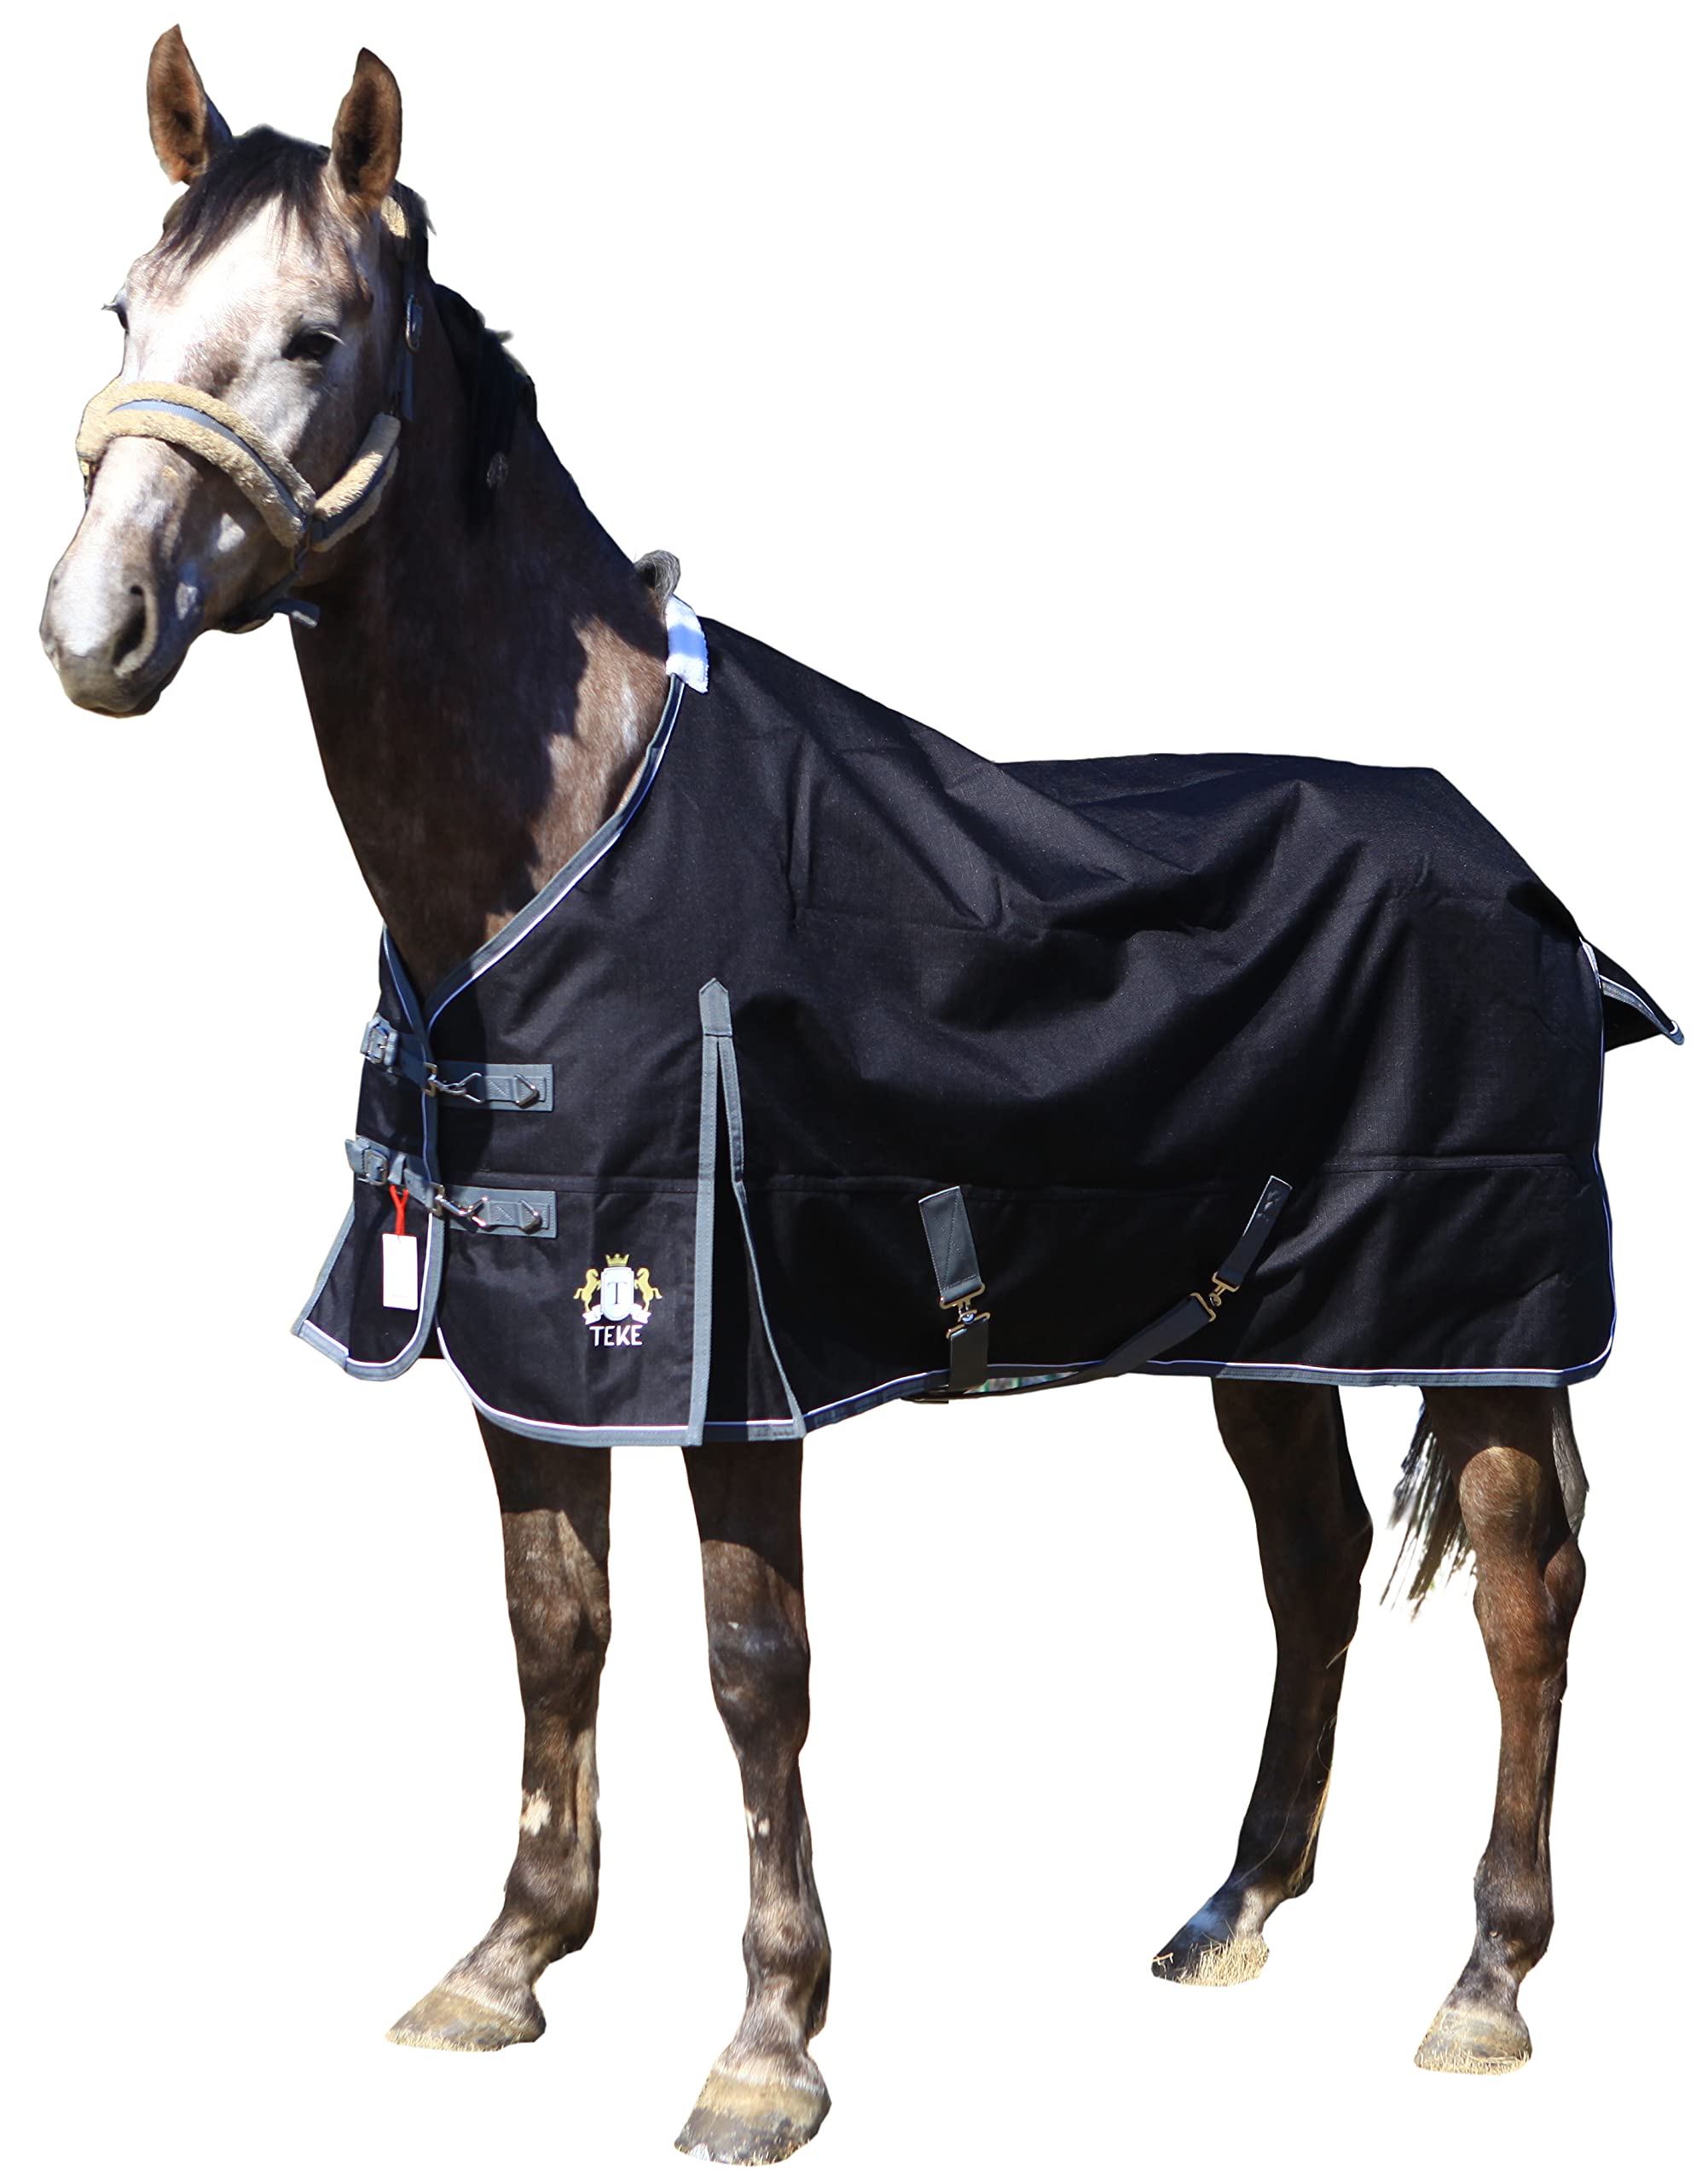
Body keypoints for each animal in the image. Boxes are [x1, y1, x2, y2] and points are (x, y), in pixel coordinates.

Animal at [39, 31, 1647, 2164]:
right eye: (127, 308)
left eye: (312, 333)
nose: (93, 629)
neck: (561, 840)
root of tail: (1513, 869)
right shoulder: (530, 1341)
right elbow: (552, 1626)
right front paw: (503, 1962)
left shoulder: (732, 1353)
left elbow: (750, 1666)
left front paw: (764, 2043)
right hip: (1261, 1332)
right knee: (1307, 1569)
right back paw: (1229, 1906)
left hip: (1475, 1326)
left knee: (1519, 1593)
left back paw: (1480, 1981)